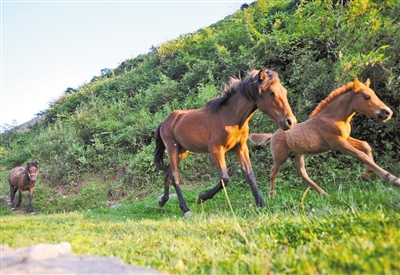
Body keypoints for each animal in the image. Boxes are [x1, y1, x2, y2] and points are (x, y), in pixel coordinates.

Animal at [153, 70, 296, 217]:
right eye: (271, 93)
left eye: (284, 91)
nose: (290, 122)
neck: (229, 117)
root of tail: (164, 122)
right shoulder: (216, 149)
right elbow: (225, 178)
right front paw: (201, 197)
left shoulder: (241, 148)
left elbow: (250, 175)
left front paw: (262, 204)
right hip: (172, 148)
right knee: (174, 175)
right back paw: (185, 209)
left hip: (182, 151)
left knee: (167, 172)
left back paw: (162, 203)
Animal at [248, 78, 398, 197]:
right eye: (367, 97)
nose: (387, 112)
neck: (334, 117)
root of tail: (272, 135)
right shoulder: (337, 143)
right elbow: (361, 155)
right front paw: (393, 179)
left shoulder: (345, 138)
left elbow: (365, 146)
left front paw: (367, 174)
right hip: (280, 157)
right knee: (273, 173)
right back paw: (271, 196)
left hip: (298, 154)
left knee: (301, 172)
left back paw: (323, 193)